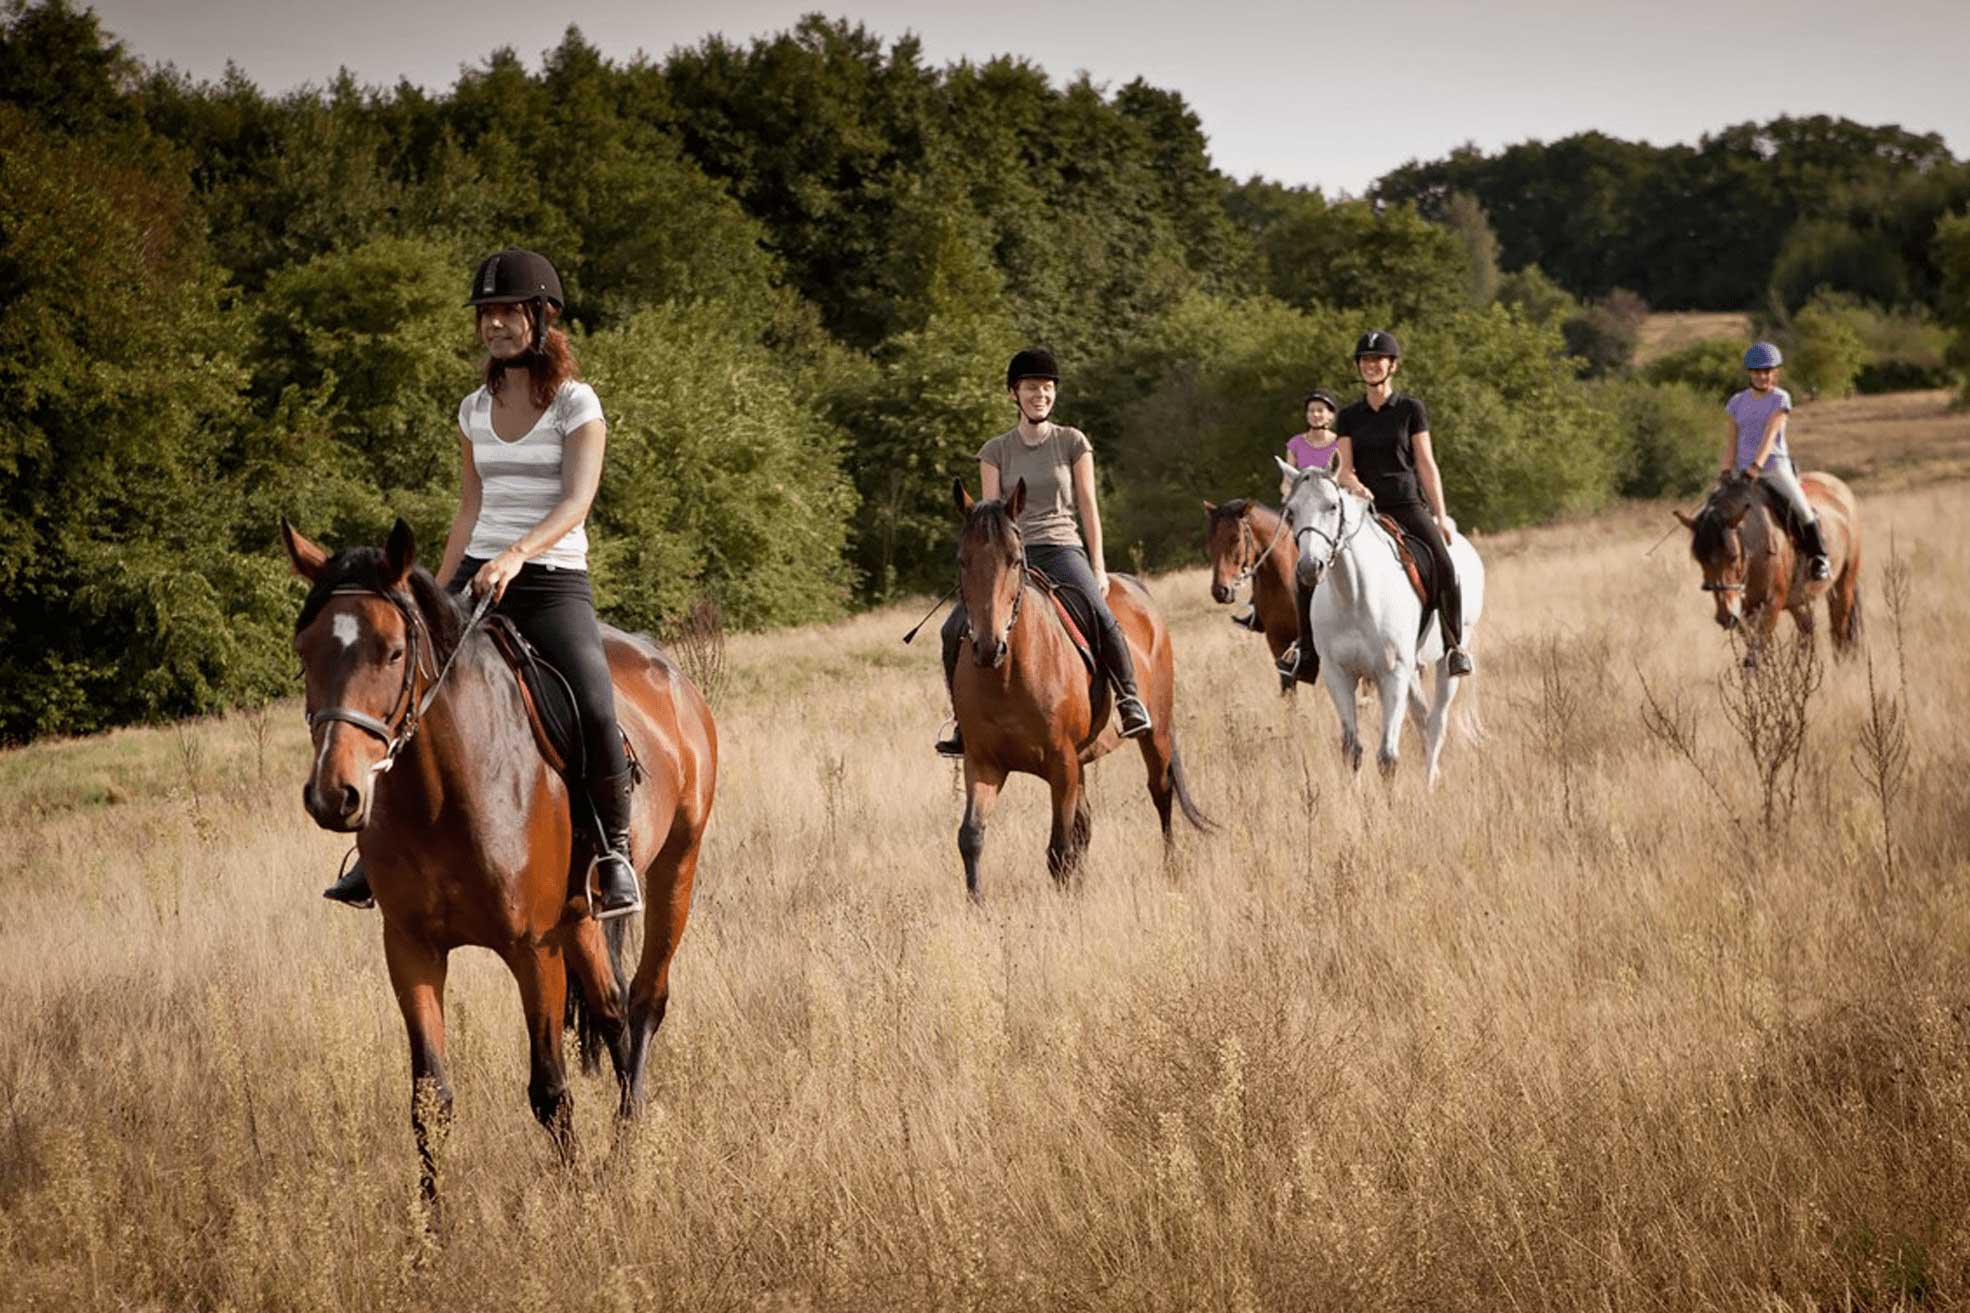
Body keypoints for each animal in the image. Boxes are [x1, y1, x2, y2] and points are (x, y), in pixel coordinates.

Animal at [285, 520, 724, 1206]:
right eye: (306, 652)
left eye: (391, 652)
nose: (334, 796)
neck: (442, 794)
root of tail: (672, 675)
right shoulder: (410, 948)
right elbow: (429, 1101)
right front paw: (431, 1229)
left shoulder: (531, 950)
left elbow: (550, 1091)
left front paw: (578, 1200)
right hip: (580, 917)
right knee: (612, 1010)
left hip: (677, 865)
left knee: (646, 1001)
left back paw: (627, 1143)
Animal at [945, 475, 1205, 895]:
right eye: (962, 561)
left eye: (1014, 560)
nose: (987, 646)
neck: (1008, 677)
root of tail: (1134, 588)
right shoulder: (983, 763)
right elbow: (971, 837)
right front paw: (977, 903)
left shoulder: (1062, 764)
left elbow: (1059, 850)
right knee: (1086, 825)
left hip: (1157, 734)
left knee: (1161, 793)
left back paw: (1172, 868)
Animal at [1276, 459, 1489, 788]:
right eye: (1291, 511)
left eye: (1332, 506)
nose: (1310, 568)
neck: (1354, 594)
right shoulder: (1339, 675)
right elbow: (1352, 749)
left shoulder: (1392, 675)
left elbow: (1387, 757)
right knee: (1422, 717)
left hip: (1448, 656)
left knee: (1437, 720)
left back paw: (1429, 782)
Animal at [1678, 465, 1859, 658]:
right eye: (1700, 560)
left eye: (1733, 556)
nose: (1726, 616)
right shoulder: (1744, 611)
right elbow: (1758, 650)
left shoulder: (1772, 604)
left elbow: (1755, 655)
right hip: (1799, 599)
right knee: (1807, 631)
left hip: (1844, 585)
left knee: (1840, 630)